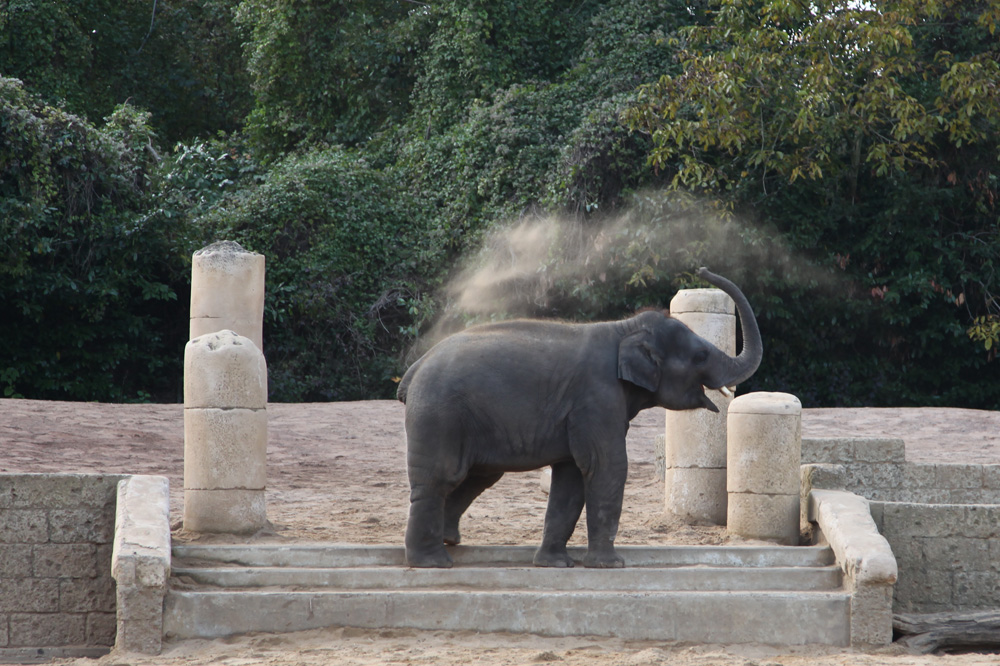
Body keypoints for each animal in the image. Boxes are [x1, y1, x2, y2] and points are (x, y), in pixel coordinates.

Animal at [394, 268, 760, 568]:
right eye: (701, 355)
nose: (700, 269)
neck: (624, 328)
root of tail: (414, 369)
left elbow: (570, 477)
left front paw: (556, 564)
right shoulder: (597, 398)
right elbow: (607, 465)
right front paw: (611, 565)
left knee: (476, 476)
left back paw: (449, 541)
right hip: (439, 414)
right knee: (442, 476)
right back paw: (431, 562)